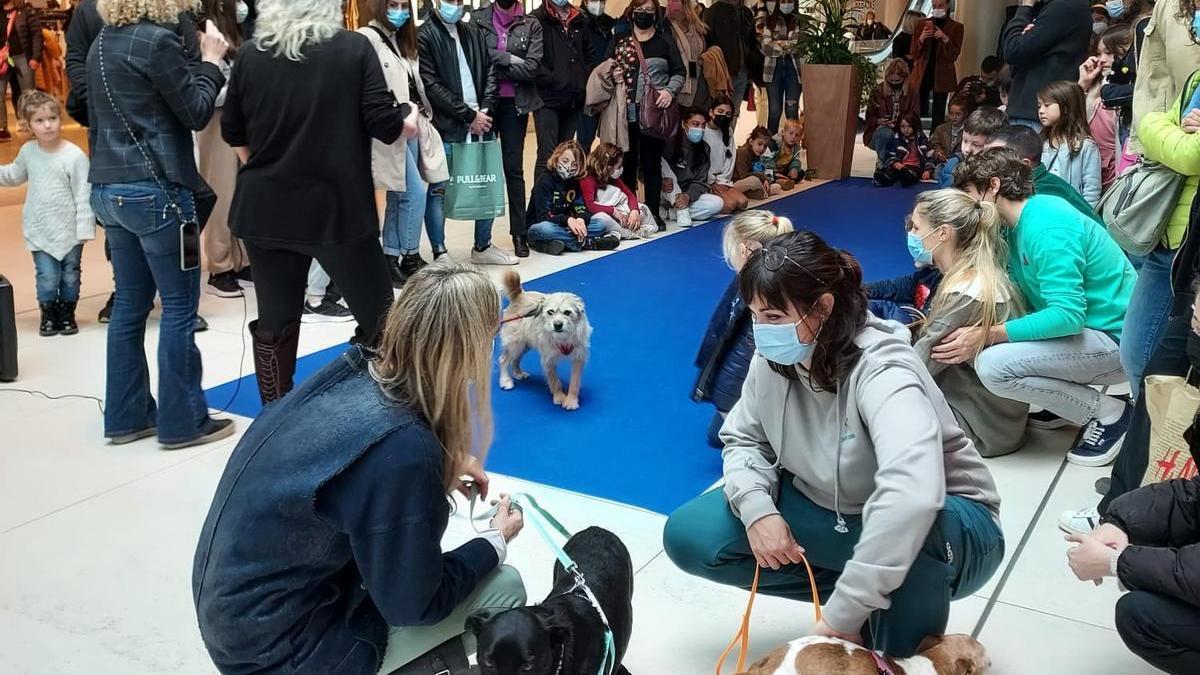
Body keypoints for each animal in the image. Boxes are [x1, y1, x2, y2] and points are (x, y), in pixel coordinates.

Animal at [496, 269, 590, 410]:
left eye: (567, 312)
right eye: (550, 312)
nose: (557, 325)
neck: (562, 337)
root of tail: (520, 295)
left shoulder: (579, 358)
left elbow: (575, 382)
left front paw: (571, 401)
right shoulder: (548, 360)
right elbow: (555, 381)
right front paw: (560, 397)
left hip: (524, 344)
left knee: (516, 359)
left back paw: (518, 373)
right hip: (515, 343)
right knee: (503, 360)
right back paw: (506, 381)